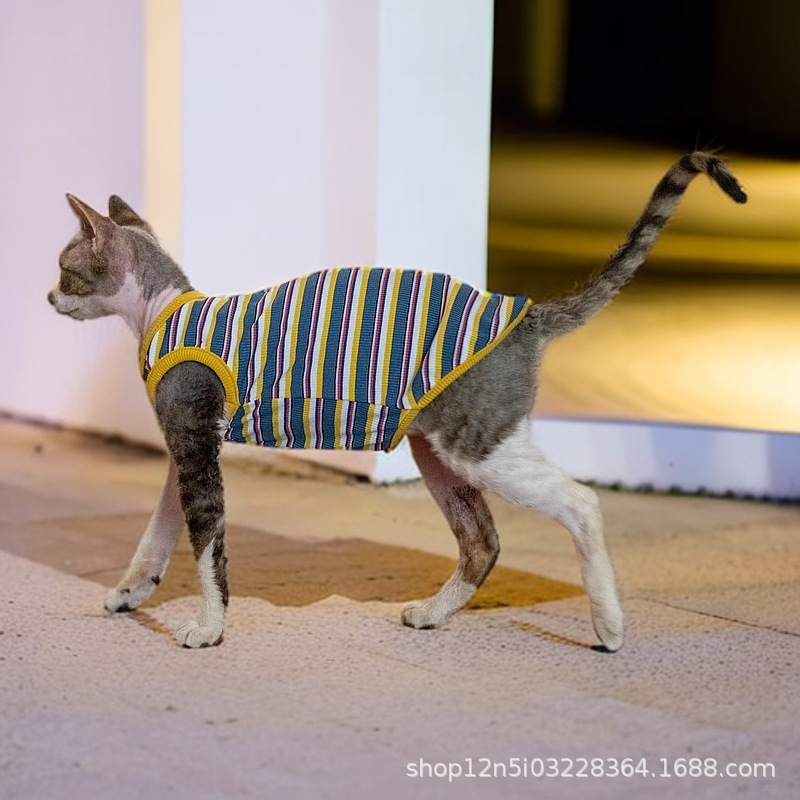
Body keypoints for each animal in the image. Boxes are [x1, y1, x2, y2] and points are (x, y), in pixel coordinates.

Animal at [48, 153, 746, 649]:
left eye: (63, 268)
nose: (48, 296)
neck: (160, 313)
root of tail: (528, 315)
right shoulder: (185, 444)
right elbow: (160, 533)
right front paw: (131, 592)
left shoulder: (194, 441)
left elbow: (207, 540)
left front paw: (210, 627)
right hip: (435, 450)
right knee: (483, 542)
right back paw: (434, 614)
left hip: (478, 444)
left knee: (582, 502)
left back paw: (609, 625)